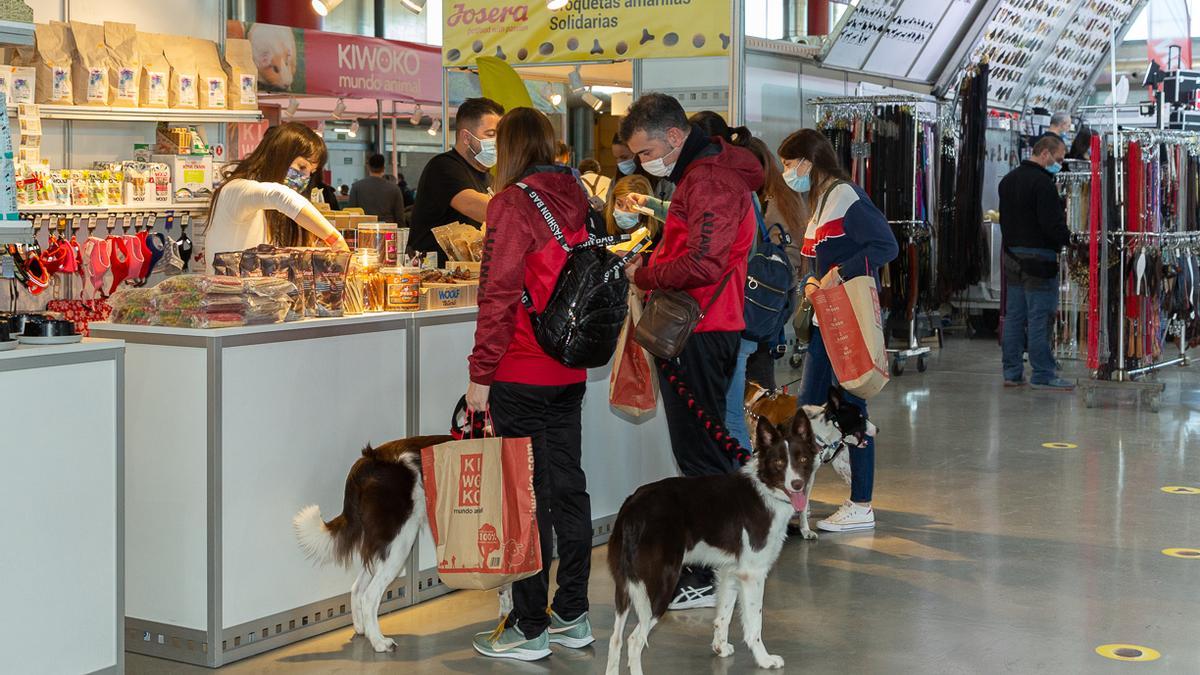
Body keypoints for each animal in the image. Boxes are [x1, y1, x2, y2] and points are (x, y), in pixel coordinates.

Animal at [292, 432, 451, 648]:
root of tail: (368, 460)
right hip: (400, 541)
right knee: (369, 596)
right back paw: (379, 641)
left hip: (384, 545)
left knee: (357, 589)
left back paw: (363, 630)